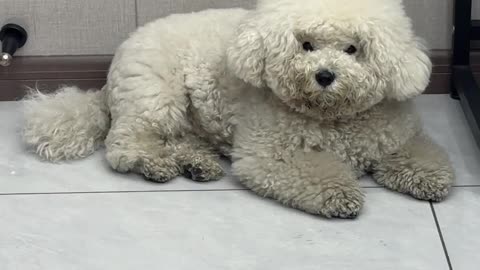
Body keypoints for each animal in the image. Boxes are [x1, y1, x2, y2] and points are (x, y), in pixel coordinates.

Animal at [23, 0, 454, 218]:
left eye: (353, 49)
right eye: (306, 45)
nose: (325, 75)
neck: (330, 117)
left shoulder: (397, 137)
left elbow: (422, 157)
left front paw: (429, 178)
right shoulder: (269, 155)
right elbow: (317, 174)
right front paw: (340, 195)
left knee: (179, 140)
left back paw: (198, 164)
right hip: (155, 96)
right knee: (125, 145)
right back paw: (155, 164)